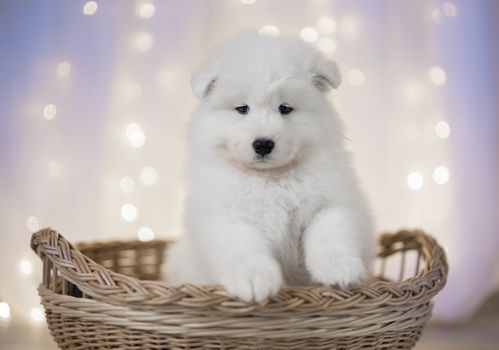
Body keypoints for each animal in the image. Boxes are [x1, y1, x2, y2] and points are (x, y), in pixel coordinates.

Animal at [168, 32, 376, 304]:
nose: (263, 144)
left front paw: (339, 269)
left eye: (285, 108)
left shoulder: (333, 202)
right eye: (242, 109)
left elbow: (331, 232)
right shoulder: (227, 216)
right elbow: (243, 246)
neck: (270, 179)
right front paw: (254, 280)